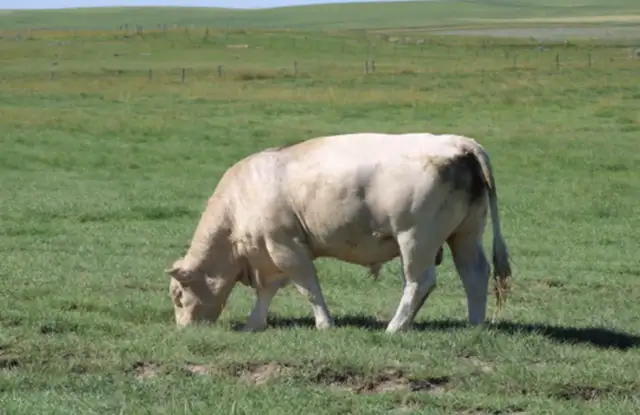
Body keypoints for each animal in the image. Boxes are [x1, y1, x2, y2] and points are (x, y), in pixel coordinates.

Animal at [166, 132, 512, 333]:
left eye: (179, 296)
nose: (183, 329)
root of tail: (460, 144)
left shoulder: (285, 248)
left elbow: (307, 287)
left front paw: (324, 324)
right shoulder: (267, 256)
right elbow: (267, 291)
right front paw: (254, 324)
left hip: (416, 239)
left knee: (419, 282)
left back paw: (395, 327)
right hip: (466, 234)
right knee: (475, 273)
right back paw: (475, 324)